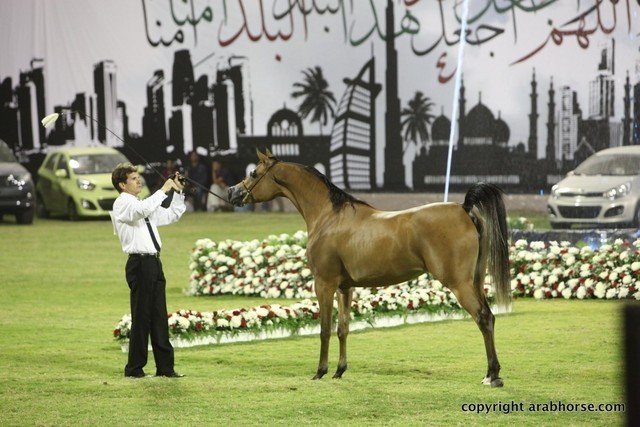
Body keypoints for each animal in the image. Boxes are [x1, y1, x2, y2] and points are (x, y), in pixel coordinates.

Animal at [228, 149, 511, 387]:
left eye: (253, 173)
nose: (232, 193)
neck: (329, 216)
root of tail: (464, 209)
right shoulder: (344, 287)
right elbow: (343, 328)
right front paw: (339, 370)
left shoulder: (324, 284)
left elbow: (324, 329)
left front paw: (320, 371)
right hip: (475, 281)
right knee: (490, 317)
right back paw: (491, 373)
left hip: (460, 284)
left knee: (483, 318)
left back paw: (493, 376)